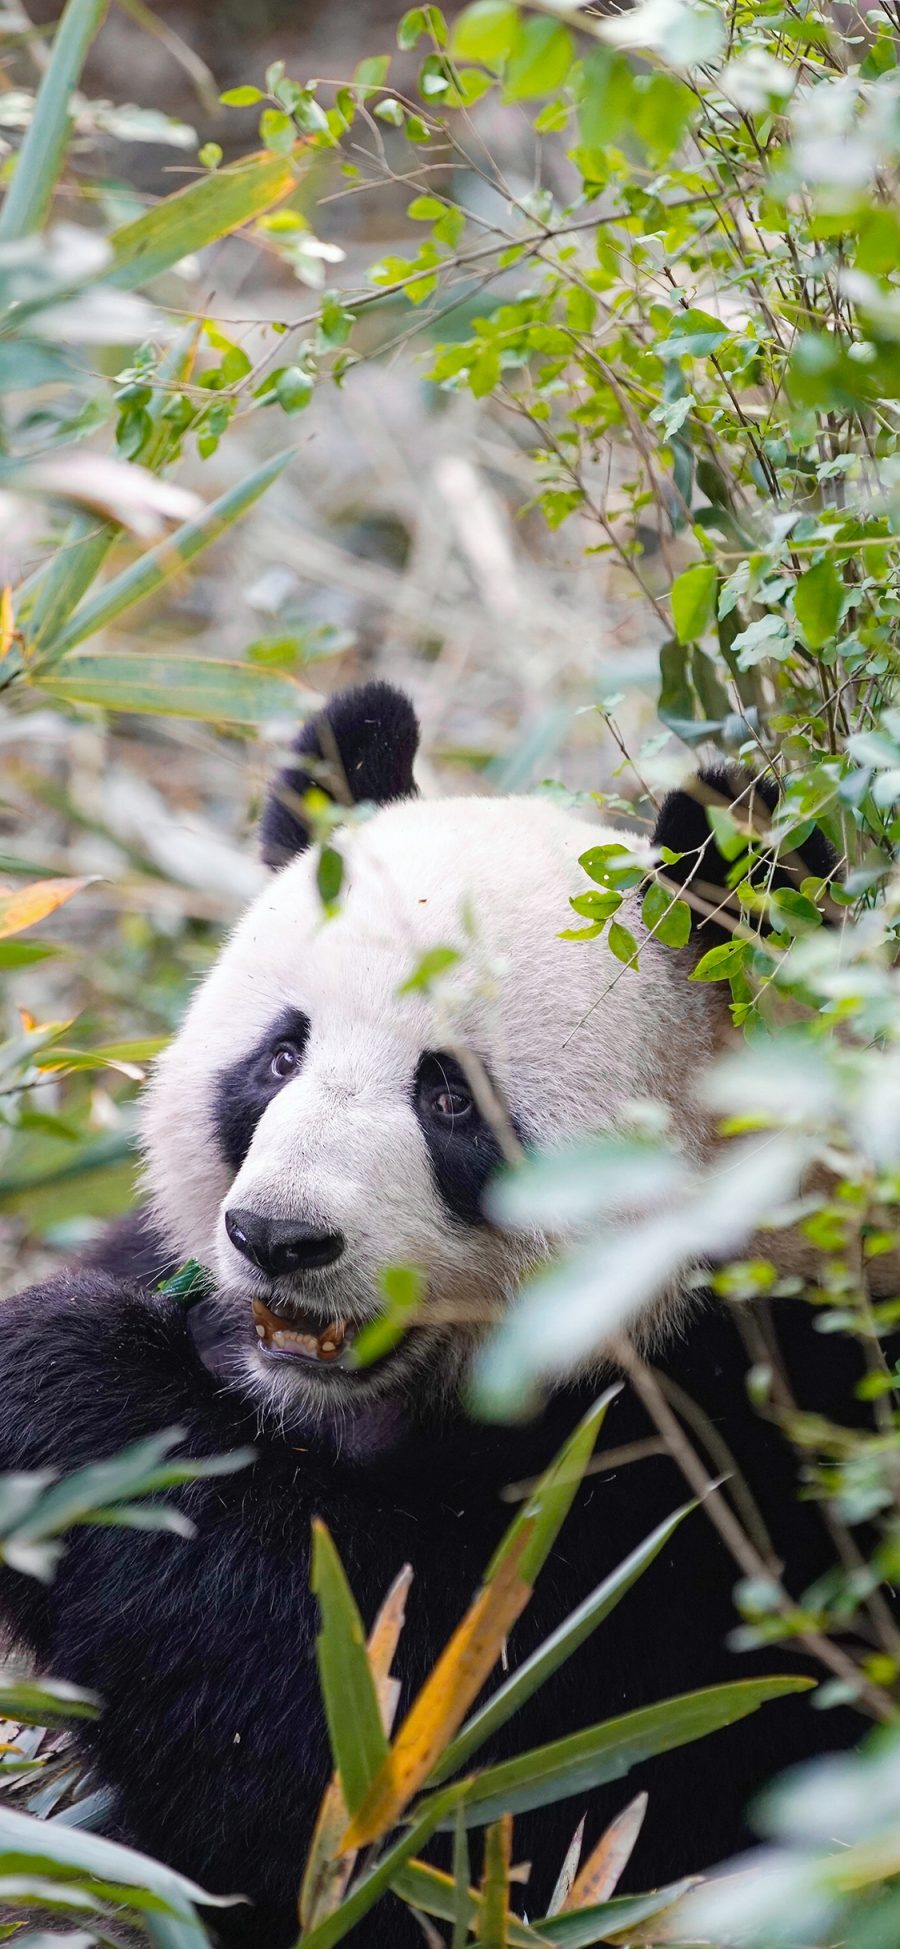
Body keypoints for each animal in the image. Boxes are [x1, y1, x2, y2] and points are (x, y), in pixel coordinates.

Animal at [0, 686, 864, 1949]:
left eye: (452, 1096)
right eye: (281, 1054)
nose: (280, 1236)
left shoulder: (731, 1471)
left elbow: (419, 1772)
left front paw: (61, 1377)